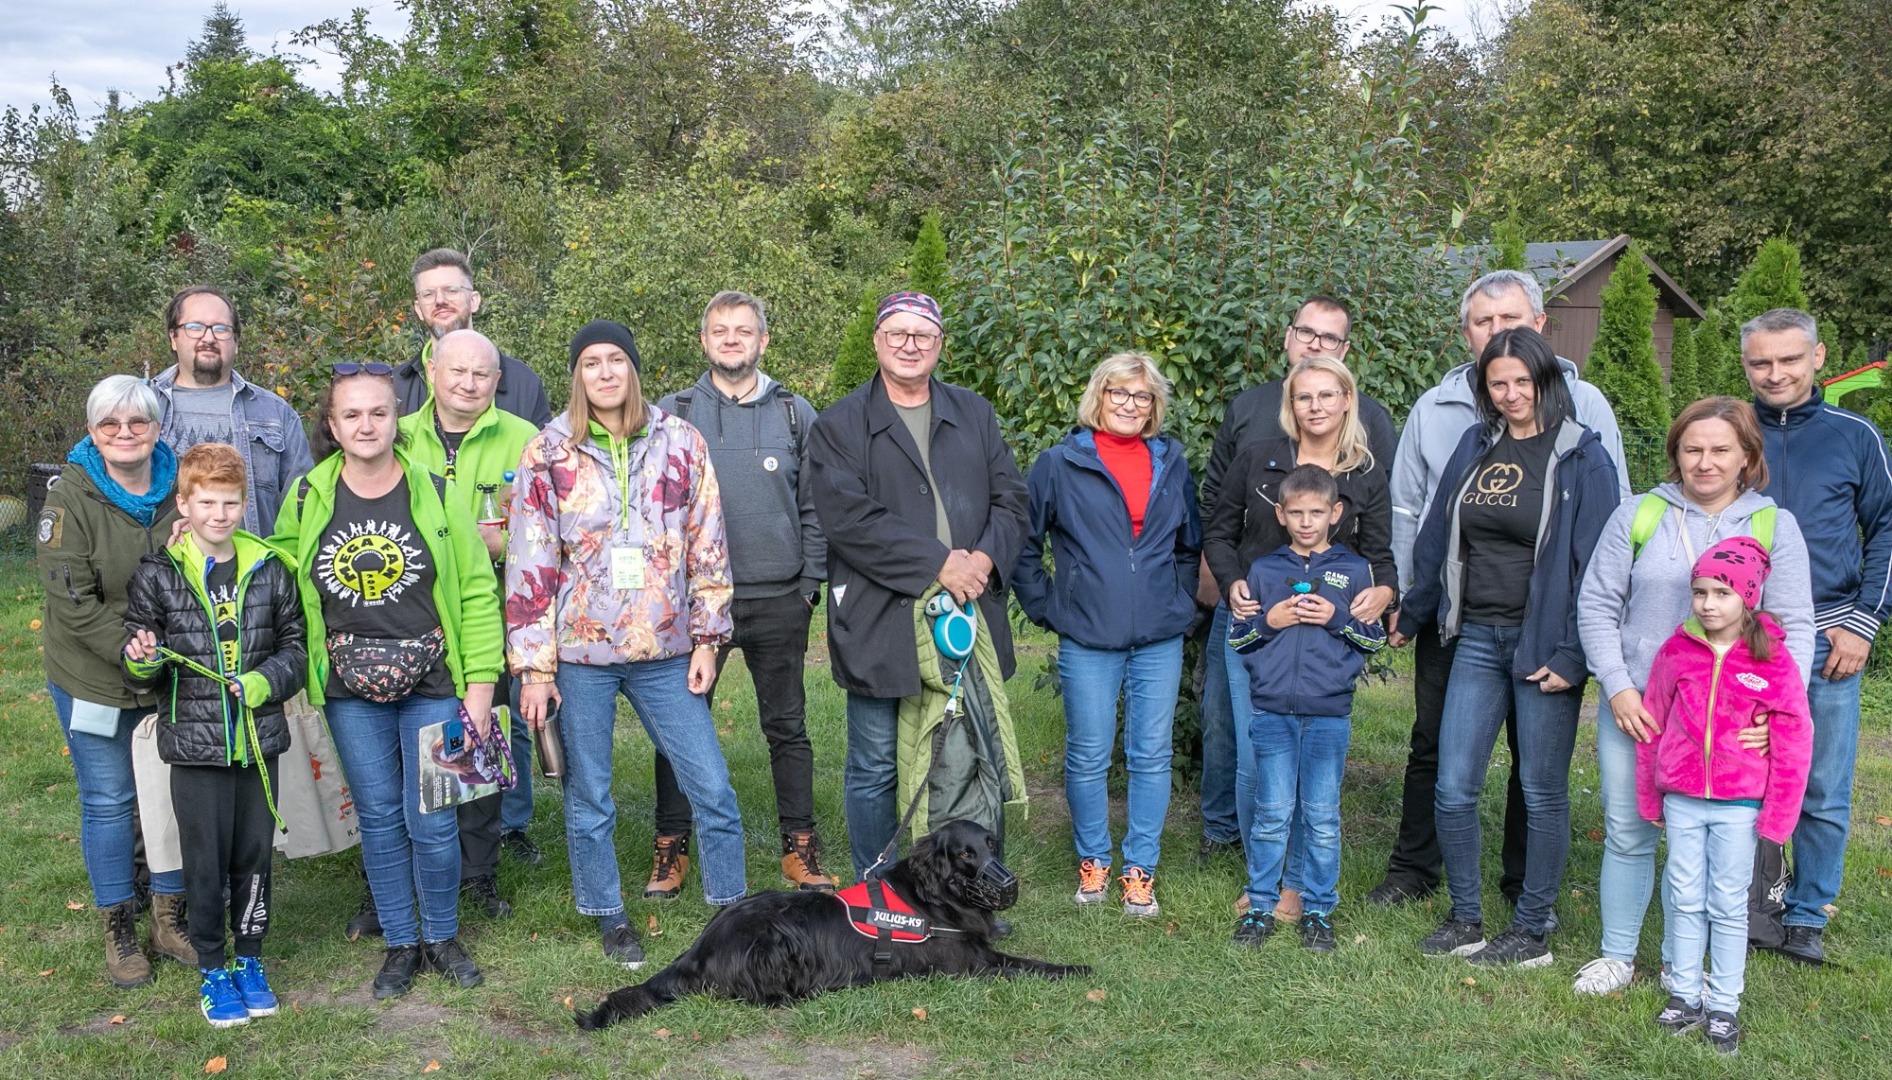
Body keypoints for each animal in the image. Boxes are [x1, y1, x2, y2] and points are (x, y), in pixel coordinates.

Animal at [567, 820, 1089, 1028]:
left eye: (991, 845)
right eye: (965, 854)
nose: (1009, 883)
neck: (933, 899)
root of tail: (698, 948)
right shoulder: (970, 965)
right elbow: (1031, 965)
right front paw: (1077, 970)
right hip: (777, 941)